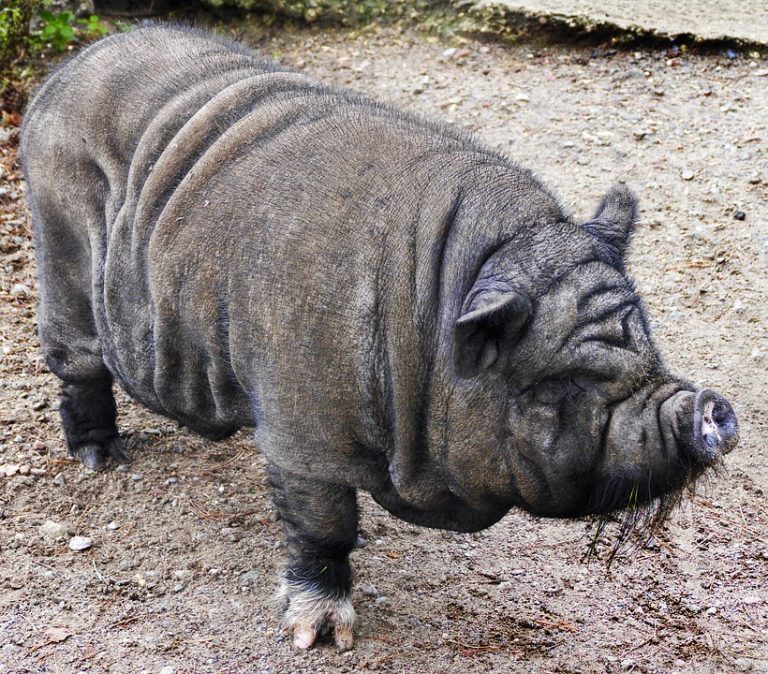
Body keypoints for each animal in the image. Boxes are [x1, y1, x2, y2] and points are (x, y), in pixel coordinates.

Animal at [21, 25, 738, 651]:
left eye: (647, 342)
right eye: (563, 379)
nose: (712, 407)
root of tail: (63, 74)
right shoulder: (301, 424)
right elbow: (323, 526)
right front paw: (320, 637)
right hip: (60, 242)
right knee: (77, 360)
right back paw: (102, 459)